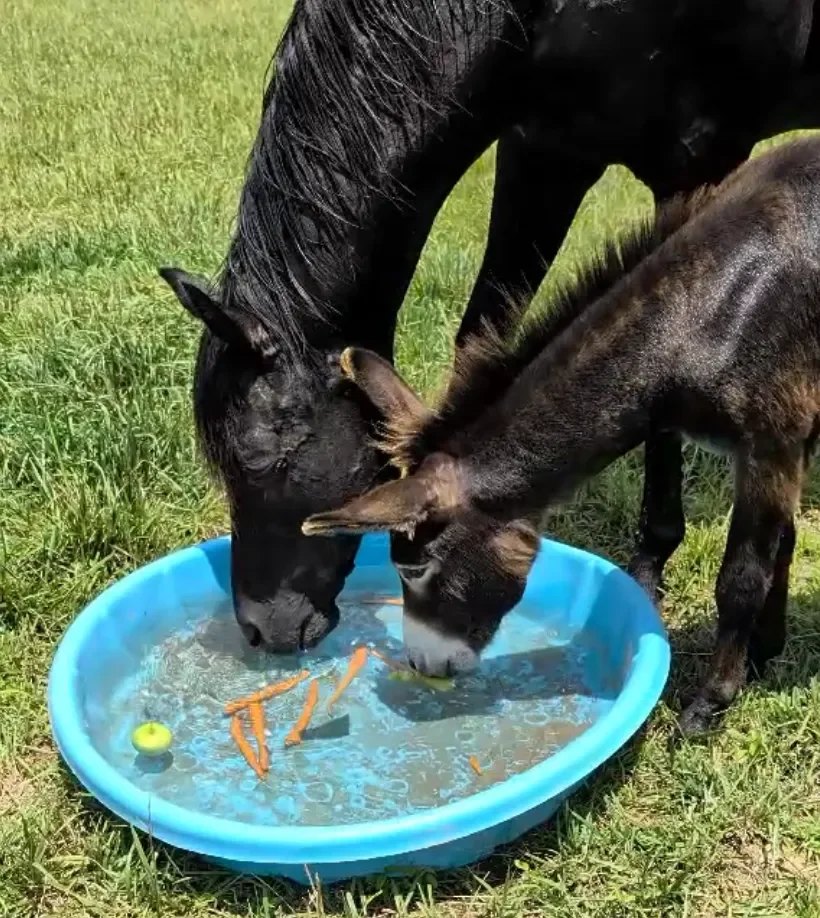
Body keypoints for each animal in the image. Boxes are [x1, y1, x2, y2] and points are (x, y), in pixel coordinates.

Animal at [160, 0, 818, 654]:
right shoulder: (541, 151)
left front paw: (649, 567)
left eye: (265, 464)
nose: (261, 630)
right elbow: (480, 334)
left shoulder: (698, 160)